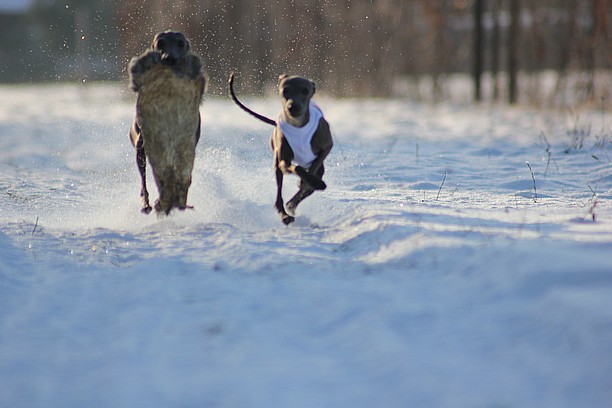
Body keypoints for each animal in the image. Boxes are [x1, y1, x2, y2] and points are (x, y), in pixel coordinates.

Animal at [230, 73, 334, 226]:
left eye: (305, 91)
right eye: (285, 90)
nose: (293, 107)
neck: (297, 126)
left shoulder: (327, 146)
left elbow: (313, 169)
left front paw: (310, 181)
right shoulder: (284, 161)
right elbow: (296, 168)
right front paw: (308, 180)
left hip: (319, 168)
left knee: (307, 187)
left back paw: (296, 200)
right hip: (277, 166)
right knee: (279, 194)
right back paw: (285, 214)